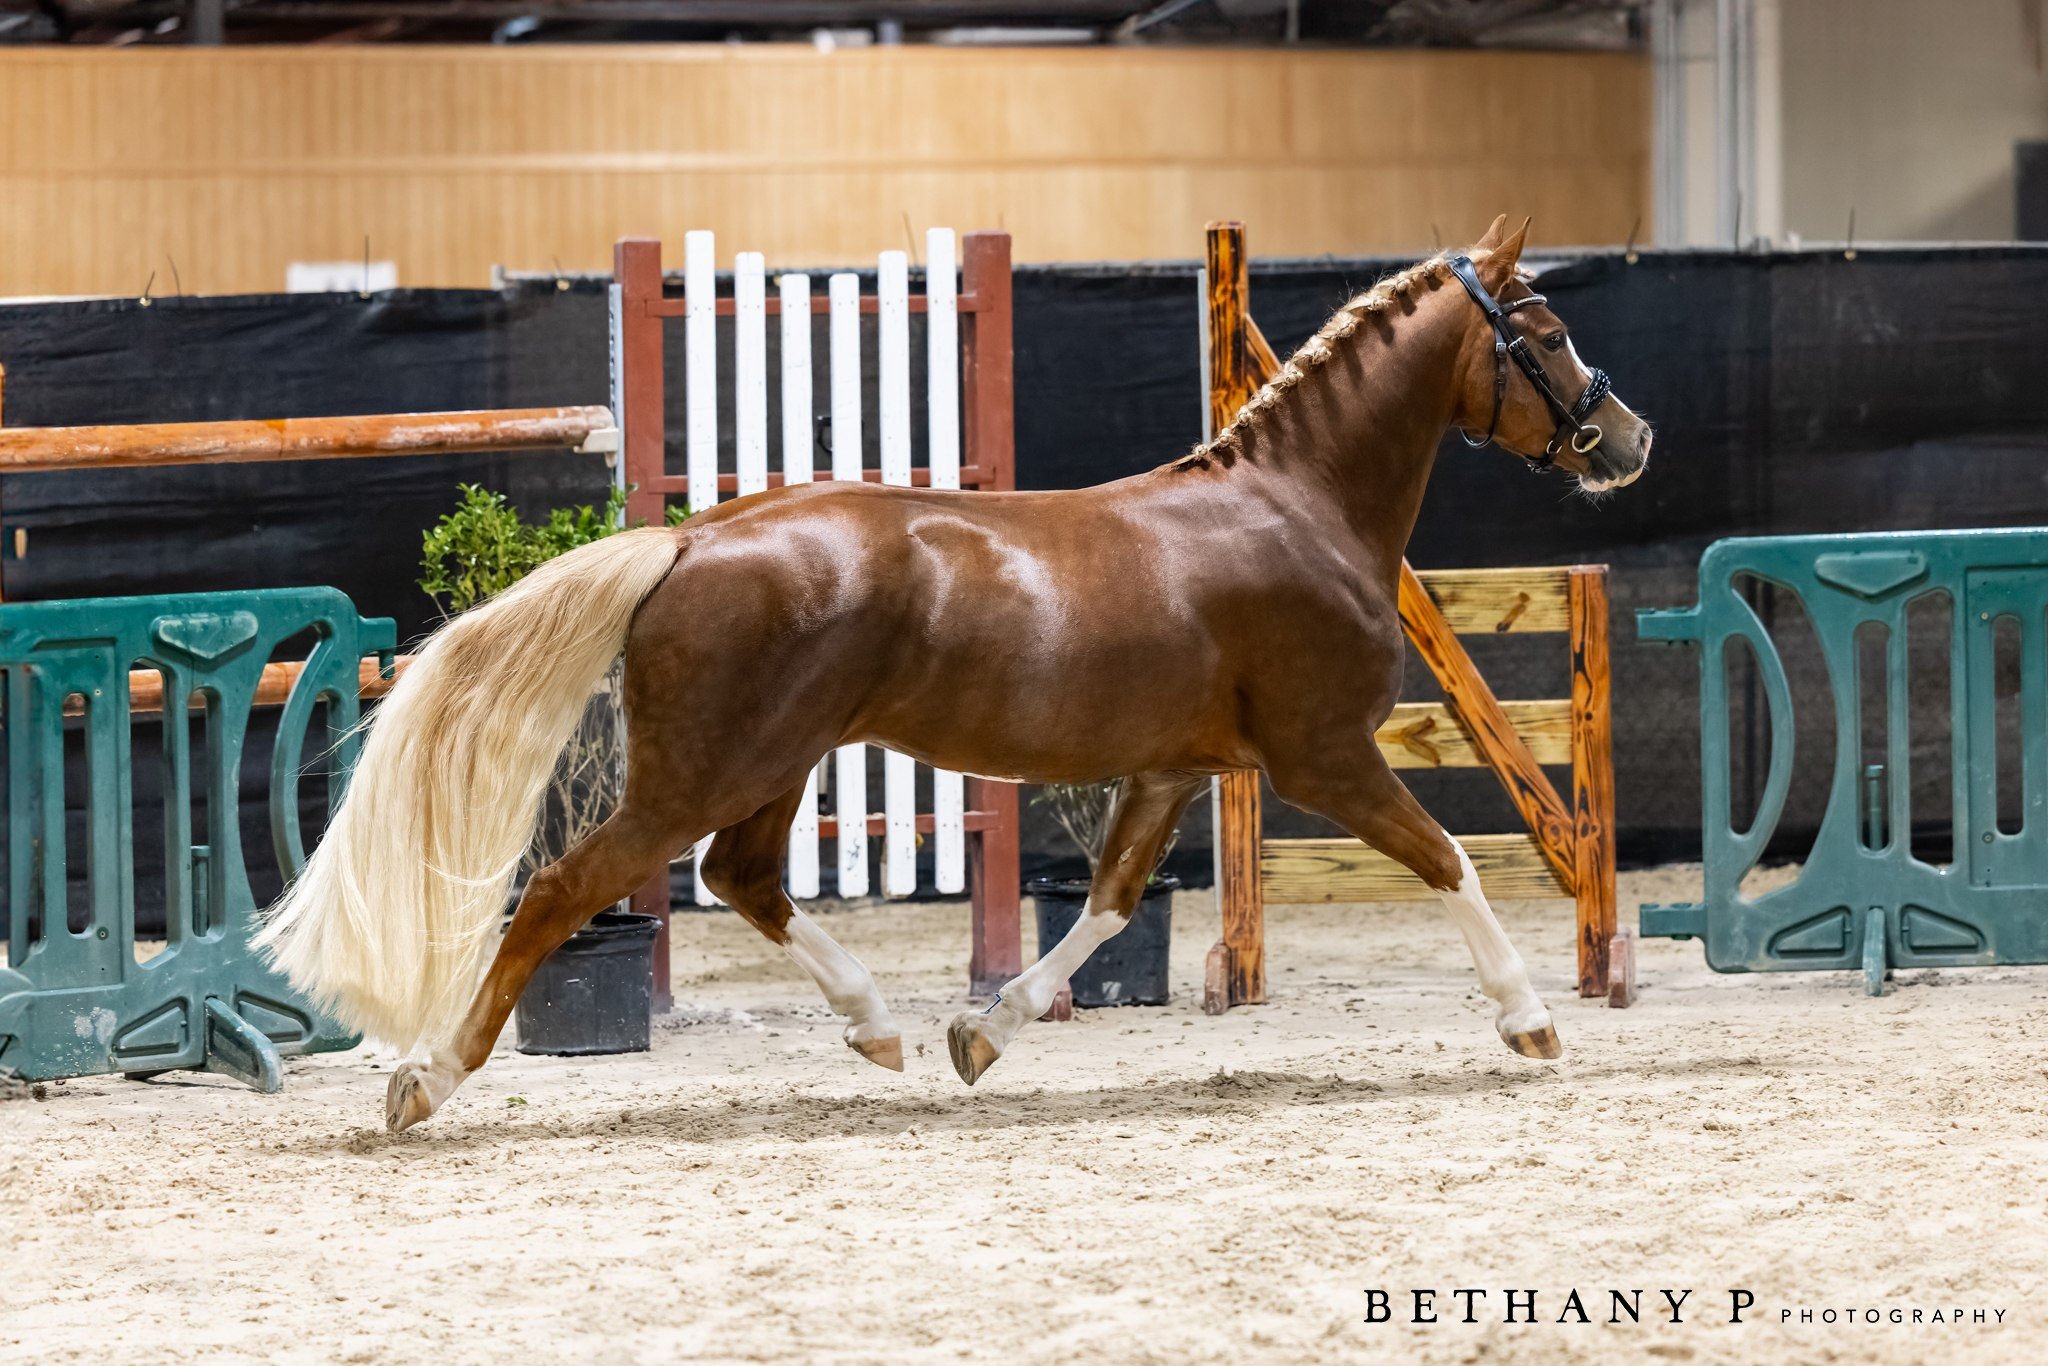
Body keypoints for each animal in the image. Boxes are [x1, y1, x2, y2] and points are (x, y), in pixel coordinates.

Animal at [256, 217, 1652, 1132]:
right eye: (1544, 331)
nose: (1626, 438)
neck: (1293, 510)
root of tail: (692, 537)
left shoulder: (1170, 768)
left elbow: (1110, 902)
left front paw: (979, 1031)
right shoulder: (1323, 756)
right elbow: (1450, 857)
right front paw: (1529, 1019)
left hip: (774, 762)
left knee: (745, 879)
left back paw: (876, 1028)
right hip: (704, 771)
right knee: (564, 889)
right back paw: (427, 1078)